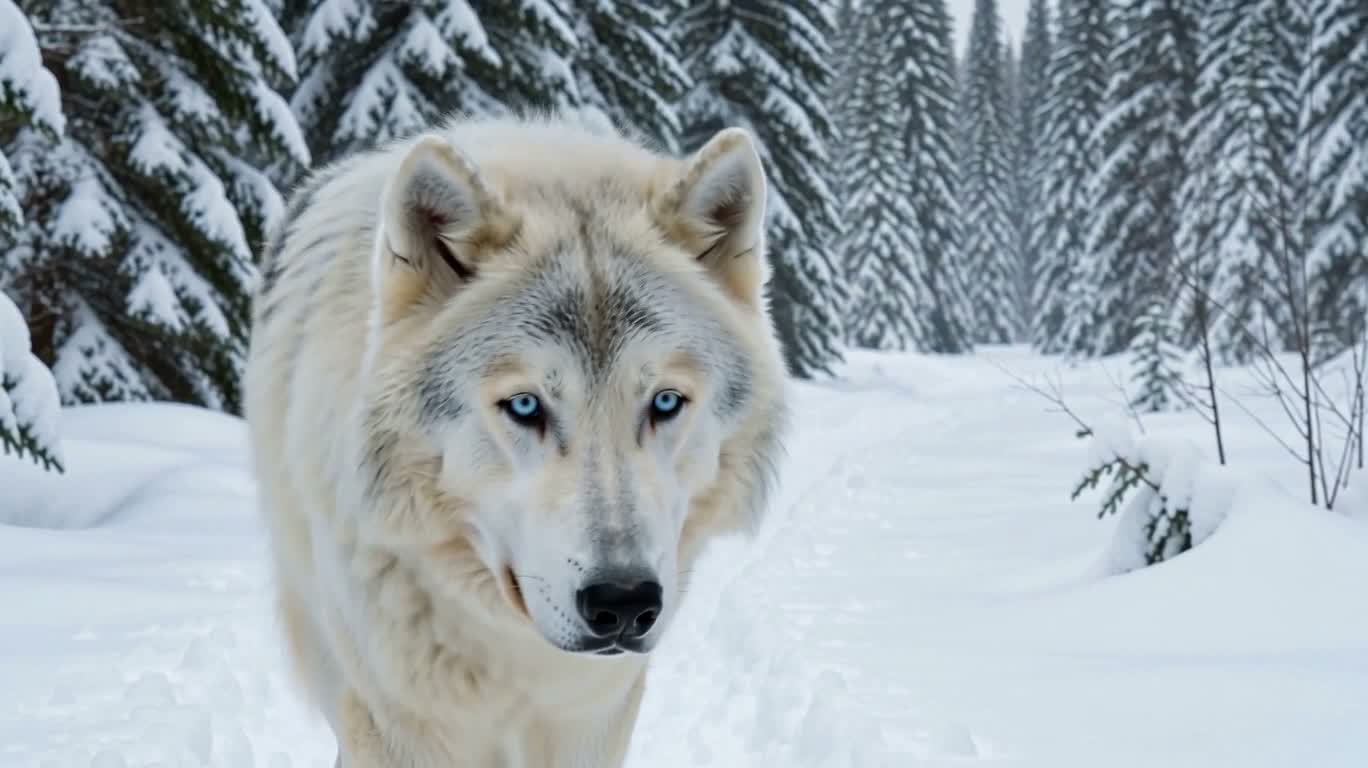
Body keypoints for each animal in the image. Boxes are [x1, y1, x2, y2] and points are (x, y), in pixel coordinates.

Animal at [242, 110, 790, 767]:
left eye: (664, 402)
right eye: (525, 405)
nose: (624, 602)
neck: (516, 650)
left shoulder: (592, 716)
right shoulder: (402, 723)